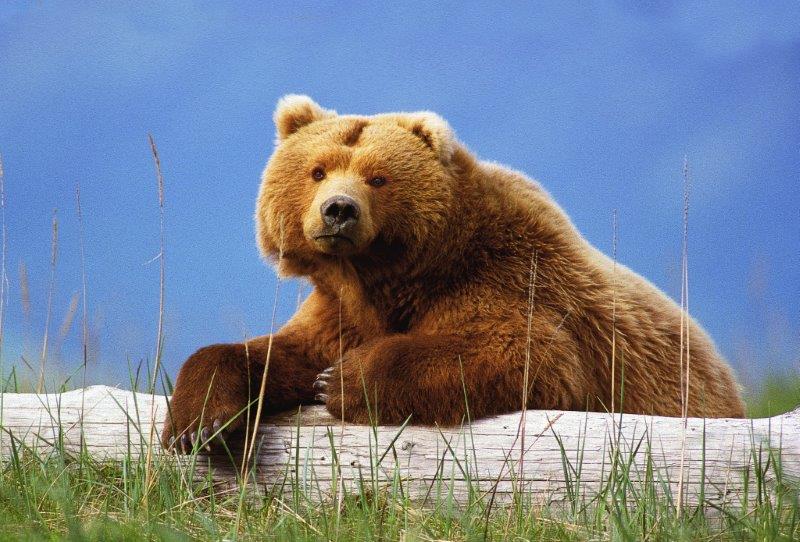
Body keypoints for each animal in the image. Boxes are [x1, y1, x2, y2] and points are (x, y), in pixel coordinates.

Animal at [161, 95, 745, 452]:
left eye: (378, 177)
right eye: (317, 170)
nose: (338, 211)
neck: (388, 278)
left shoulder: (508, 278)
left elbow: (516, 353)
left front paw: (343, 380)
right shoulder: (339, 307)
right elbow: (272, 352)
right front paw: (200, 426)